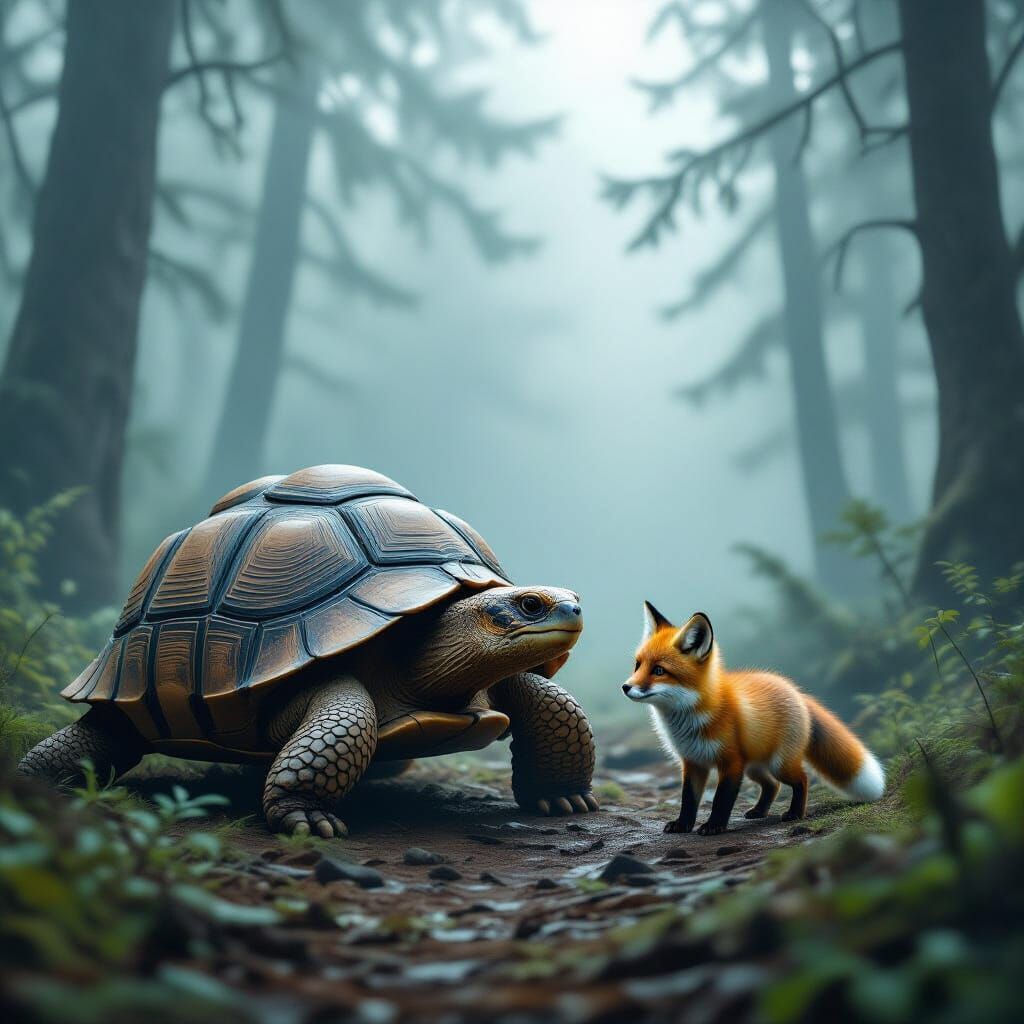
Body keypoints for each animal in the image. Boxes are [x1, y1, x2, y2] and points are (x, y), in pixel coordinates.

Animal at [622, 603, 885, 835]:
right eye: (638, 665)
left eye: (659, 671)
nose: (625, 687)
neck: (690, 718)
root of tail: (796, 691)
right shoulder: (693, 762)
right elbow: (688, 799)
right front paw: (683, 825)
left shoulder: (731, 762)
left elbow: (721, 799)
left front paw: (714, 827)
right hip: (754, 767)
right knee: (772, 785)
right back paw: (759, 811)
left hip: (778, 764)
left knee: (801, 778)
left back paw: (795, 813)